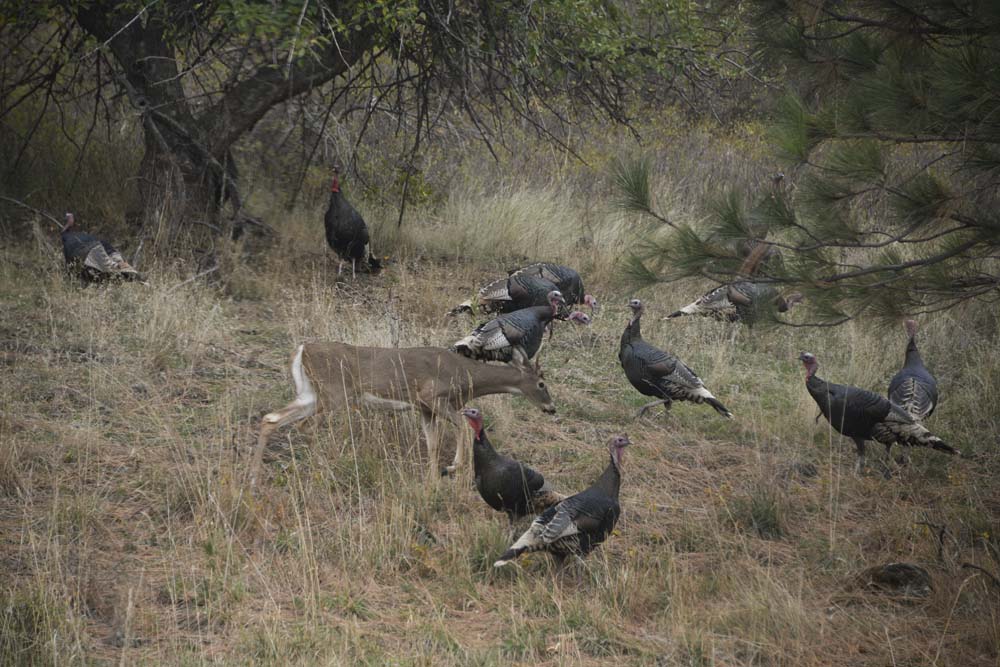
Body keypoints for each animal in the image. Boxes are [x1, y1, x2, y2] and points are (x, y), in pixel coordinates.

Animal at [250, 342, 557, 486]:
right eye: (542, 383)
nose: (551, 408)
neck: (466, 376)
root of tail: (302, 349)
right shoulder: (433, 396)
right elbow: (462, 426)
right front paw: (454, 466)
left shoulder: (424, 408)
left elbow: (432, 443)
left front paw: (432, 479)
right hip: (335, 393)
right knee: (306, 427)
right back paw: (324, 470)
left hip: (310, 394)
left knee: (271, 419)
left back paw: (254, 478)